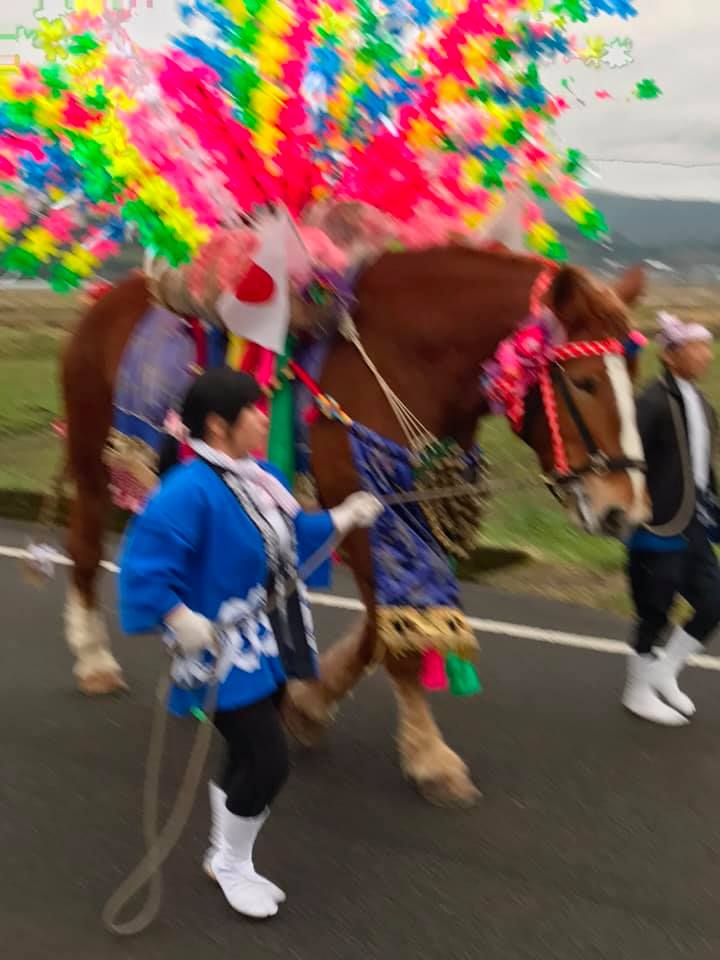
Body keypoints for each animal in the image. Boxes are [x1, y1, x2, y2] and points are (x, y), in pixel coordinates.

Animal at [62, 248, 648, 808]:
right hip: (93, 459)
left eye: (635, 380)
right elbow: (399, 640)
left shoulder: (408, 516)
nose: (624, 509)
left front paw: (307, 704)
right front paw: (431, 758)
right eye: (584, 381)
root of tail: (106, 300)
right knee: (86, 548)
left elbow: (385, 625)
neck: (404, 359)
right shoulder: (374, 511)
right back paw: (94, 661)